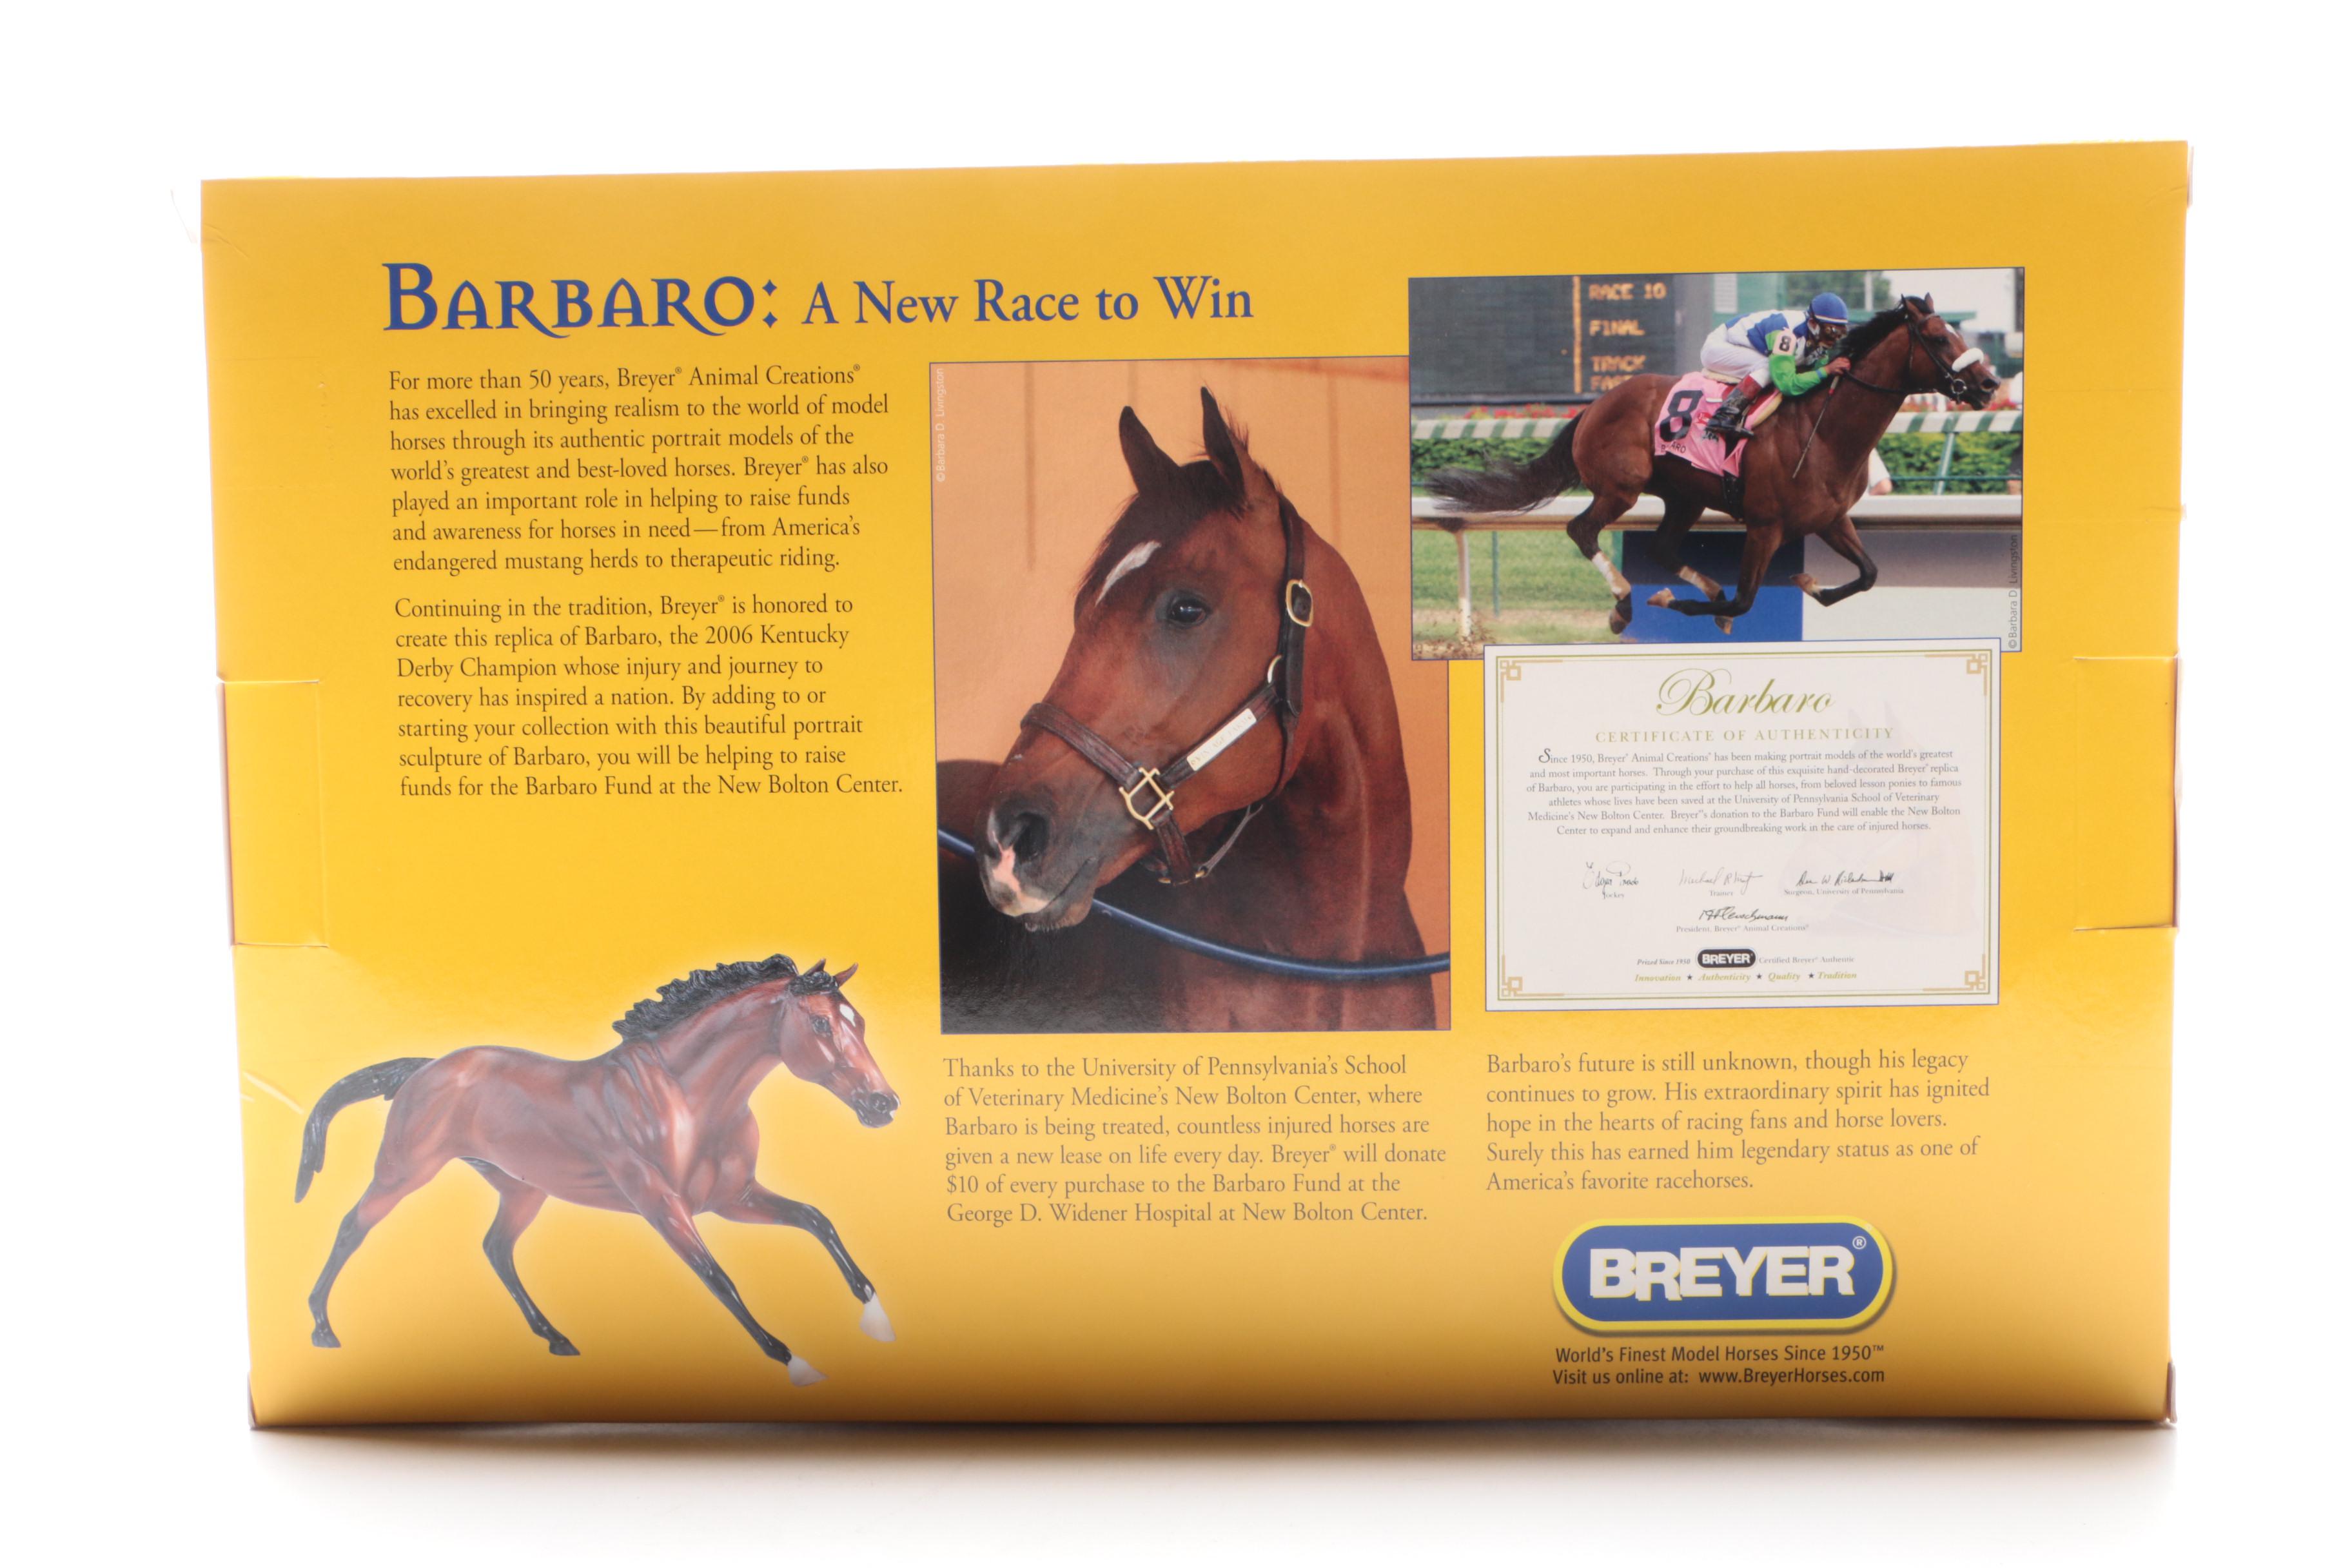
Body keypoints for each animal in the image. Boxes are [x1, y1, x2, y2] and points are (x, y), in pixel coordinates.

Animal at [294, 956, 896, 1384]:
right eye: (820, 1023)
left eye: (861, 1022)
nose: (883, 1104)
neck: (686, 1099)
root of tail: (426, 1071)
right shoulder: (663, 1207)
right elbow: (718, 1277)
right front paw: (794, 1361)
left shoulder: (733, 1199)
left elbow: (817, 1220)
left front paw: (879, 1320)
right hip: (403, 1172)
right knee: (352, 1228)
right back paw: (322, 1327)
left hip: (522, 1191)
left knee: (496, 1248)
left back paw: (557, 1339)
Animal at [1427, 296, 2004, 634]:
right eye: (1938, 338)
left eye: (1958, 334)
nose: (1989, 384)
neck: (1823, 430)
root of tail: (1595, 404)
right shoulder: (1766, 526)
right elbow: (1744, 603)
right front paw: (1673, 603)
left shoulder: (1831, 519)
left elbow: (1867, 575)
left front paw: (1811, 584)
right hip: (1621, 488)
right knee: (1582, 530)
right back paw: (1625, 603)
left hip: (1683, 496)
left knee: (1661, 547)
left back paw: (1697, 586)